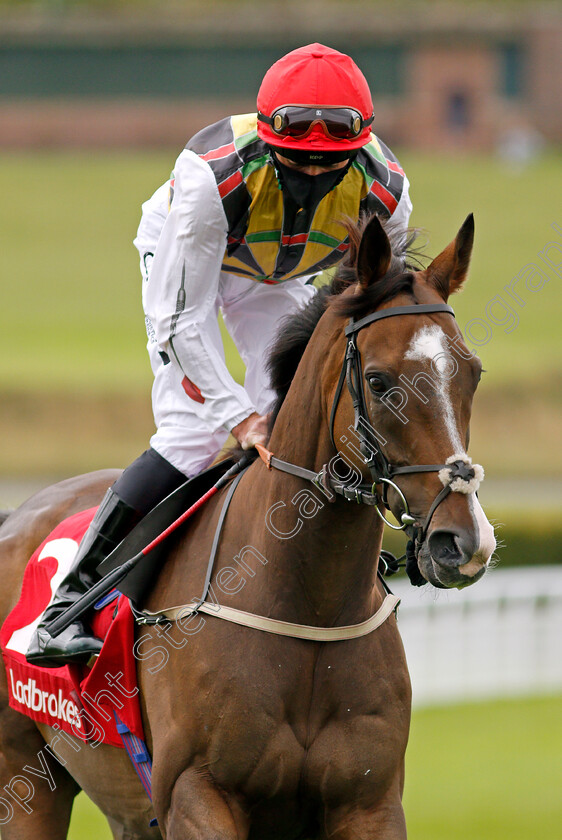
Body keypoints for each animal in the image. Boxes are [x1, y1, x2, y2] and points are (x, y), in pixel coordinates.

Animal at [0, 213, 494, 836]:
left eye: (472, 374)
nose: (464, 542)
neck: (307, 610)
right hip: (23, 779)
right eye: (380, 382)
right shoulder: (195, 793)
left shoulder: (371, 801)